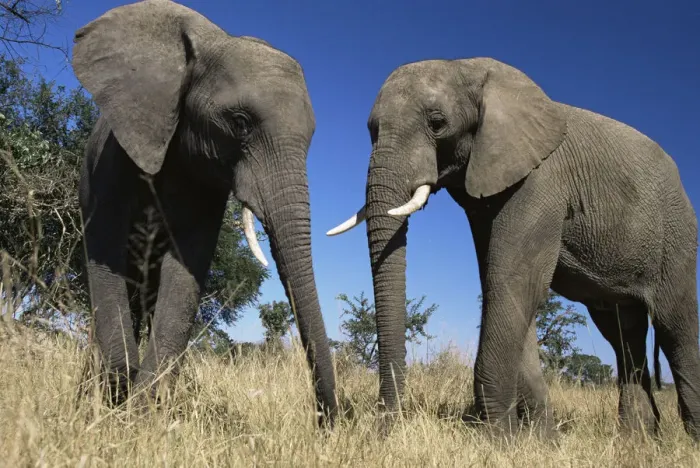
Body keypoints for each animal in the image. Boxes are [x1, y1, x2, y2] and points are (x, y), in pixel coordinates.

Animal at [72, 0, 337, 424]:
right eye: (240, 123)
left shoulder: (209, 186)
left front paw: (143, 415)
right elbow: (104, 252)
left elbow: (185, 269)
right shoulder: (112, 160)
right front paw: (116, 403)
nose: (326, 421)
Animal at [328, 57, 700, 440]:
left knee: (675, 326)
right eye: (371, 130)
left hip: (677, 235)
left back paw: (686, 438)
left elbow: (512, 279)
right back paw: (636, 440)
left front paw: (496, 439)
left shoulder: (541, 179)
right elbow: (503, 282)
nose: (382, 429)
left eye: (437, 124)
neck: (469, 68)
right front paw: (538, 438)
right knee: (623, 334)